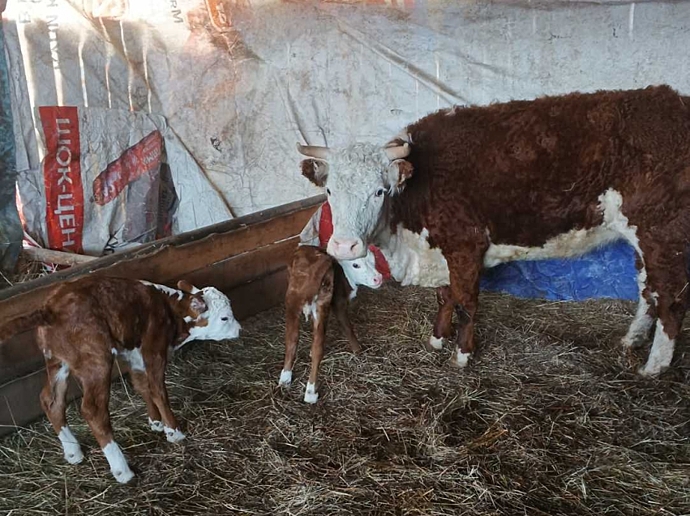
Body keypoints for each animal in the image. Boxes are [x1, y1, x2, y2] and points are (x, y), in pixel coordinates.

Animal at [0, 276, 242, 482]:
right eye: (225, 317)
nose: (239, 329)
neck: (170, 310)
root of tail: (49, 310)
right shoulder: (153, 350)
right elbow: (158, 390)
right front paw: (174, 431)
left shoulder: (135, 354)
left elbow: (142, 385)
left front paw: (155, 422)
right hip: (96, 360)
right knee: (93, 410)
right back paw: (122, 470)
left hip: (57, 360)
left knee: (51, 400)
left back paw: (73, 451)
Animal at [276, 245, 382, 404]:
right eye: (355, 265)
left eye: (373, 259)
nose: (378, 278)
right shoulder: (338, 302)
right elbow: (347, 328)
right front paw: (358, 351)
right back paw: (309, 391)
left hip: (299, 301)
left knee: (294, 340)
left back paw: (290, 381)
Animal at [294, 83, 688, 374]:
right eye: (329, 191)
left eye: (379, 190)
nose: (344, 246)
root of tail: (672, 100)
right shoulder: (441, 250)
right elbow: (445, 296)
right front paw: (437, 339)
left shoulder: (465, 245)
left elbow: (466, 301)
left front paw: (462, 355)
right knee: (647, 289)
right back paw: (632, 339)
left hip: (660, 231)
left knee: (670, 299)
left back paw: (653, 366)